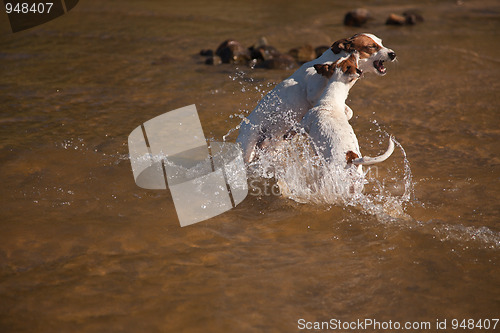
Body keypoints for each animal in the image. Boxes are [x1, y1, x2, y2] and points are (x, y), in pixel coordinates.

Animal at [236, 32, 396, 163]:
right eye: (371, 46)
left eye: (381, 42)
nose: (393, 54)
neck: (332, 60)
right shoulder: (313, 94)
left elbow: (349, 111)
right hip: (248, 143)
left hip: (273, 148)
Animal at [300, 52, 394, 189]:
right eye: (342, 58)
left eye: (351, 60)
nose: (354, 52)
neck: (332, 100)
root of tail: (352, 157)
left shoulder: (303, 124)